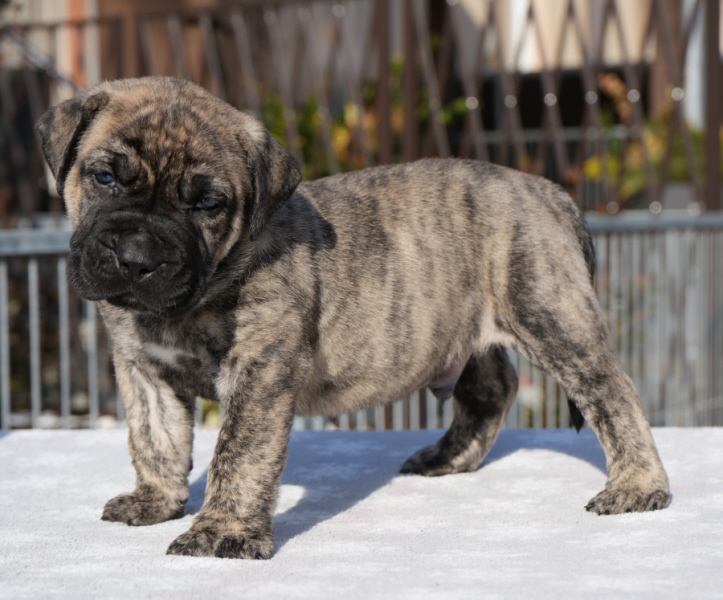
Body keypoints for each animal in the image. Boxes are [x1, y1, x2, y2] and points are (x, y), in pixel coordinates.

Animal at [36, 77, 670, 559]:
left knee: (612, 393)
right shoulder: (143, 368)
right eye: (104, 177)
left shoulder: (259, 369)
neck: (192, 298)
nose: (136, 258)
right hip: (461, 326)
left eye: (208, 205)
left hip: (549, 311)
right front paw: (156, 501)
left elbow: (238, 453)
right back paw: (449, 456)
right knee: (493, 387)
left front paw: (221, 533)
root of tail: (549, 191)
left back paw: (638, 486)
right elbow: (154, 438)